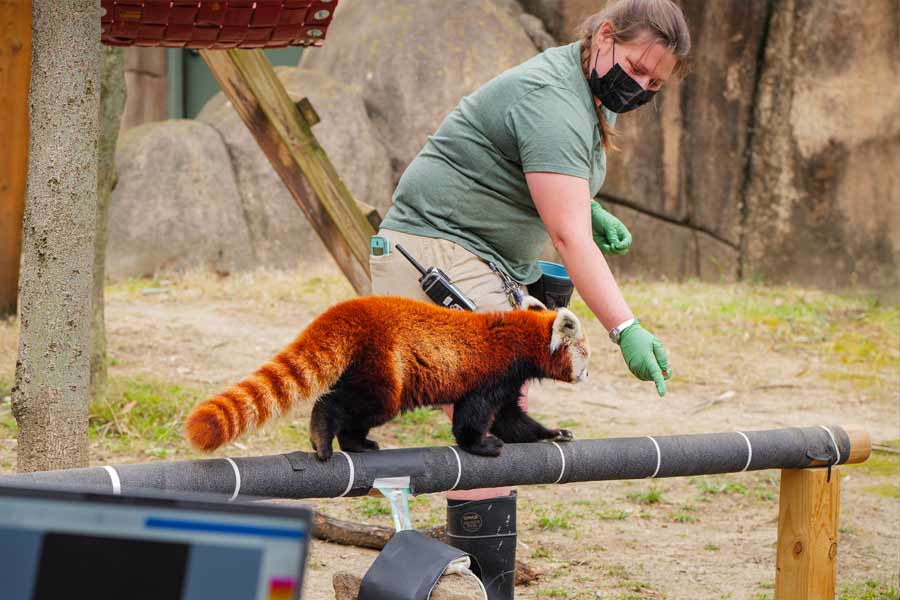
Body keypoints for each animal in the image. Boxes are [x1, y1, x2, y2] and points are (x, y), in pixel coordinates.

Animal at [185, 296, 588, 460]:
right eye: (585, 354)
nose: (586, 375)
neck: (520, 336)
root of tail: (353, 308)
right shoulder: (493, 374)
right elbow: (473, 416)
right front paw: (479, 444)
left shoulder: (507, 383)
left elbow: (511, 419)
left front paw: (554, 433)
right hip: (385, 362)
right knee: (356, 403)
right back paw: (325, 433)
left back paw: (357, 444)